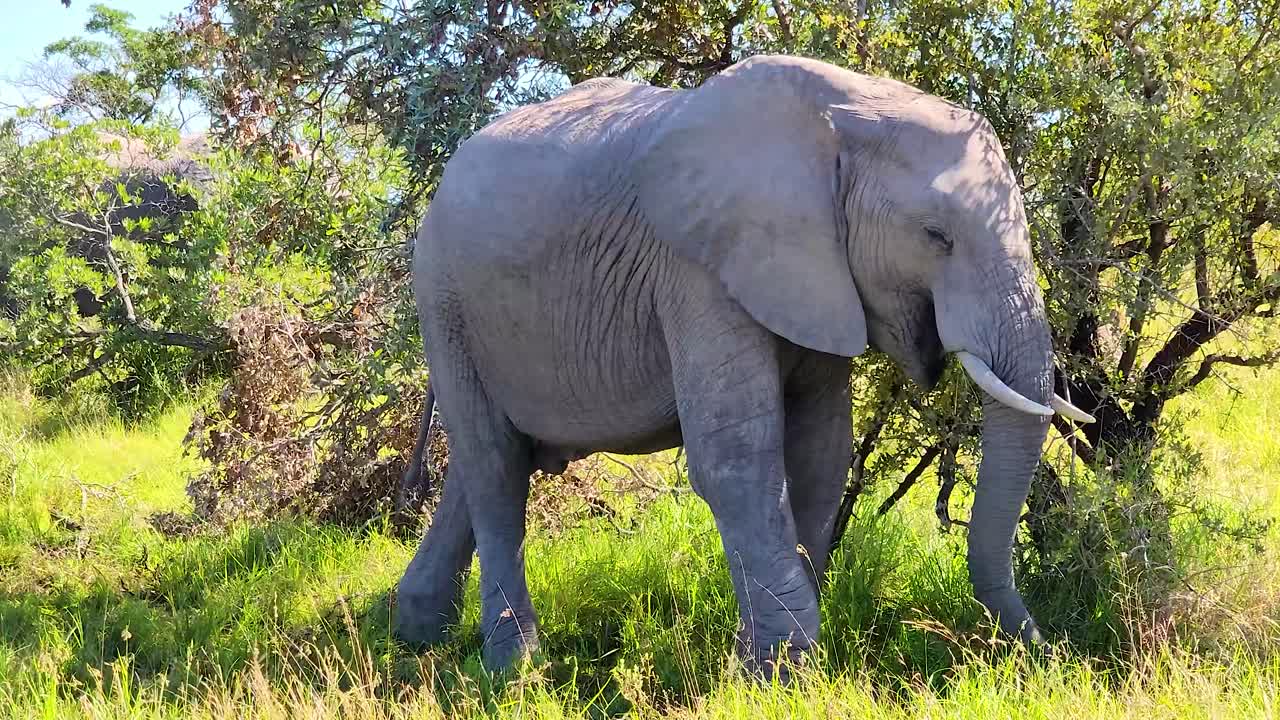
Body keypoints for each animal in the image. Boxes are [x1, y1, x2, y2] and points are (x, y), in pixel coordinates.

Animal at [393, 54, 1094, 678]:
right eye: (935, 236)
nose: (1043, 654)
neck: (844, 114)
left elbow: (820, 455)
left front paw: (762, 659)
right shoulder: (697, 268)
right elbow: (737, 458)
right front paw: (783, 669)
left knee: (489, 463)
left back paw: (414, 634)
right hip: (443, 301)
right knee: (494, 467)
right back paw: (514, 671)